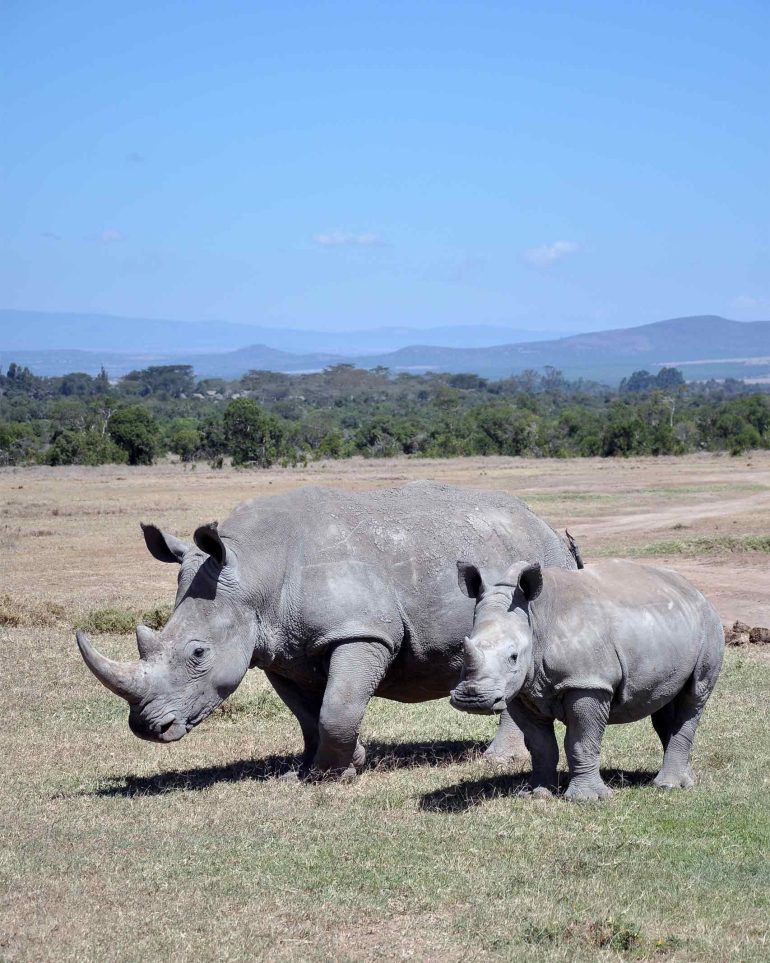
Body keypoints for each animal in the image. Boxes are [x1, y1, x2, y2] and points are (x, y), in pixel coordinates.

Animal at [75, 482, 579, 778]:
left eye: (198, 654)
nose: (146, 727)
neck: (253, 567)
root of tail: (548, 527)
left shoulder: (361, 631)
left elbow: (339, 704)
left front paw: (336, 774)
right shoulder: (278, 648)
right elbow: (307, 713)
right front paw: (313, 769)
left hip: (536, 565)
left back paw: (499, 760)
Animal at [450, 558, 724, 800]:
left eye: (513, 657)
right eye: (463, 649)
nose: (472, 698)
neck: (536, 619)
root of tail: (697, 592)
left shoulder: (588, 683)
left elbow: (581, 741)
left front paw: (588, 798)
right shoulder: (523, 690)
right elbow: (540, 745)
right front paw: (536, 794)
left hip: (710, 627)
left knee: (693, 696)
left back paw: (667, 786)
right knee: (665, 701)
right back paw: (685, 780)